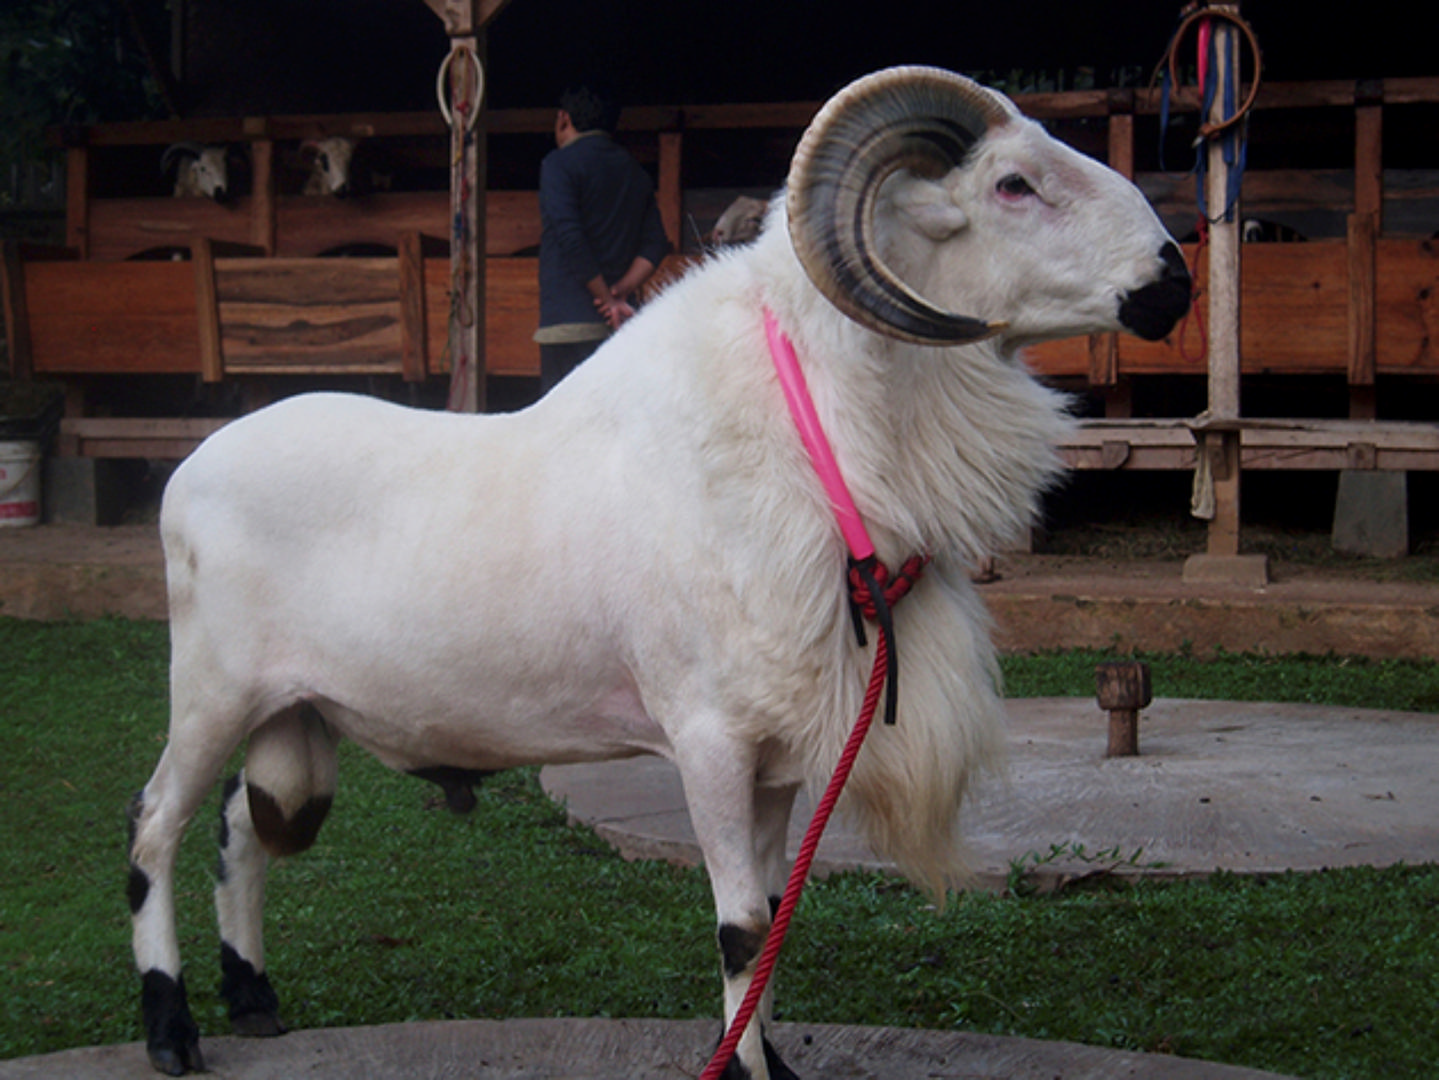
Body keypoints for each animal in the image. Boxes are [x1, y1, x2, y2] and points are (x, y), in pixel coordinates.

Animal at [126, 67, 1191, 1080]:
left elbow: (773, 917)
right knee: (154, 829)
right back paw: (173, 1031)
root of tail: (187, 470)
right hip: (212, 692)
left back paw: (253, 1000)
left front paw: (774, 1059)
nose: (1172, 281)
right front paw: (751, 1072)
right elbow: (741, 928)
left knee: (242, 824)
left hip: (294, 714)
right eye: (1012, 183)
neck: (810, 440)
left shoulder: (777, 756)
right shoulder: (708, 738)